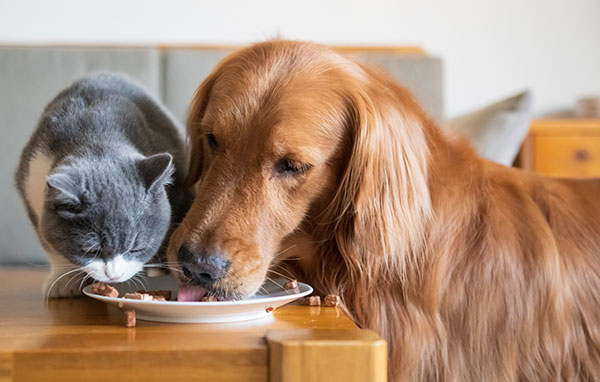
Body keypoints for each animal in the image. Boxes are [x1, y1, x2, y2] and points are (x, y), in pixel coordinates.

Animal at [15, 71, 189, 298]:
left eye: (136, 248)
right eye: (90, 250)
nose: (113, 275)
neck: (95, 133)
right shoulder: (31, 181)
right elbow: (49, 241)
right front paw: (64, 279)